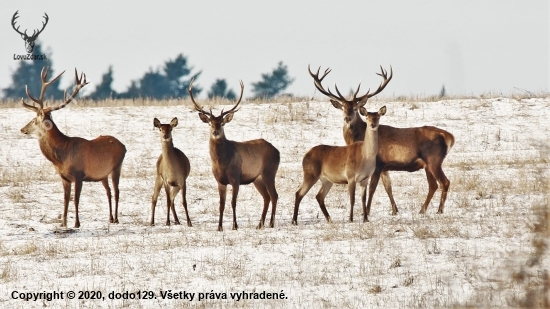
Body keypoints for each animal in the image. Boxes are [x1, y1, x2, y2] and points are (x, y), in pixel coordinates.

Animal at [20, 67, 126, 227]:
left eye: (33, 120)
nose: (22, 129)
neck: (61, 157)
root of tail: (124, 146)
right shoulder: (64, 177)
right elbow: (65, 200)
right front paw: (63, 223)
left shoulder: (79, 174)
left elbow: (76, 200)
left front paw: (76, 223)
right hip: (103, 175)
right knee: (108, 192)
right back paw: (110, 218)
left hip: (117, 167)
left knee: (117, 191)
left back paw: (117, 219)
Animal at [191, 79, 284, 231]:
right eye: (210, 123)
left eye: (222, 123)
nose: (216, 132)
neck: (221, 163)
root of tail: (277, 151)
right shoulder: (220, 181)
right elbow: (221, 205)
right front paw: (219, 227)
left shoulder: (235, 178)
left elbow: (233, 202)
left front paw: (235, 226)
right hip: (257, 178)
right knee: (266, 197)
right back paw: (259, 224)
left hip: (269, 171)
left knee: (274, 195)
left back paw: (270, 223)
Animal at [310, 65, 458, 219]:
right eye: (343, 108)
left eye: (355, 108)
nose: (347, 118)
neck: (361, 139)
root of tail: (449, 136)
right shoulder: (385, 167)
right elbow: (388, 187)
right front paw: (394, 210)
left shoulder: (378, 163)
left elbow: (372, 188)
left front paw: (367, 212)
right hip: (427, 165)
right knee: (433, 185)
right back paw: (422, 210)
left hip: (434, 160)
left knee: (444, 182)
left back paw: (439, 210)